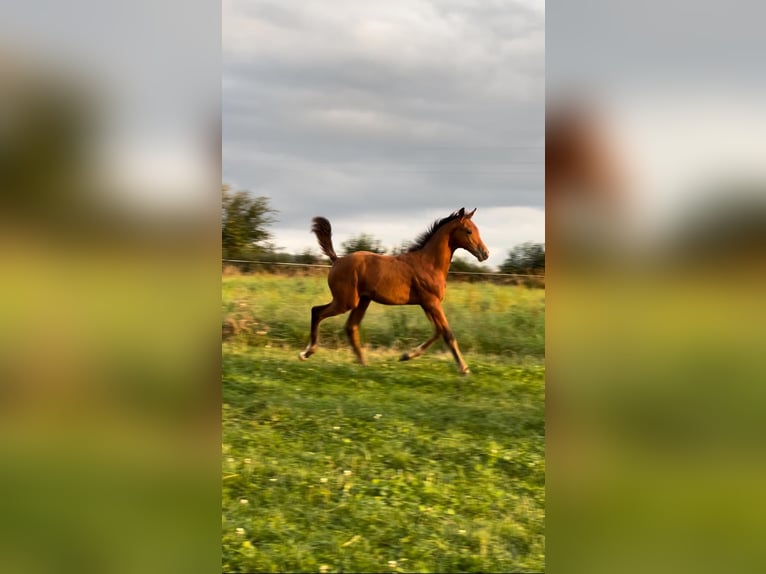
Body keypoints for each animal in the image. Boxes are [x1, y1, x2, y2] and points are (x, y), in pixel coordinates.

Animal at [302, 209, 492, 376]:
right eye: (469, 231)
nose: (485, 253)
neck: (429, 263)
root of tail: (337, 260)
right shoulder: (432, 302)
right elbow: (447, 333)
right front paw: (464, 369)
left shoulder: (426, 304)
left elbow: (437, 331)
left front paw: (406, 355)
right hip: (346, 301)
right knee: (317, 312)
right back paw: (307, 352)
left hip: (362, 301)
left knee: (351, 327)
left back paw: (363, 365)